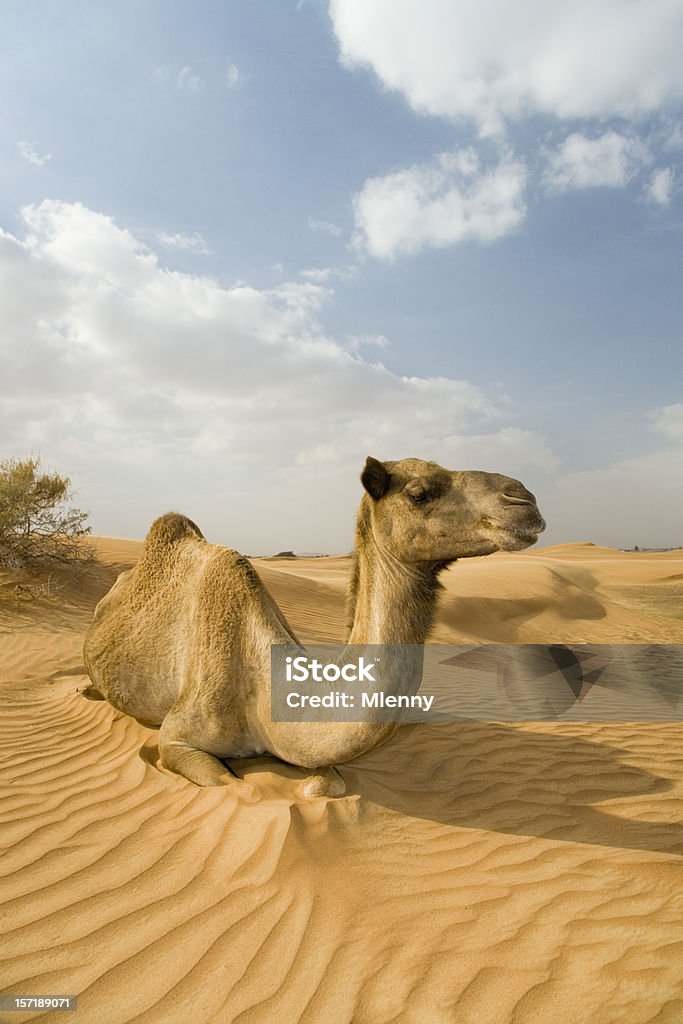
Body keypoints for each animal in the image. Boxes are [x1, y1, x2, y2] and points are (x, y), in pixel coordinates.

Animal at [83, 458, 544, 798]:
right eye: (419, 493)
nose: (524, 498)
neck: (264, 688)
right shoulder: (178, 737)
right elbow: (232, 784)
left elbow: (328, 783)